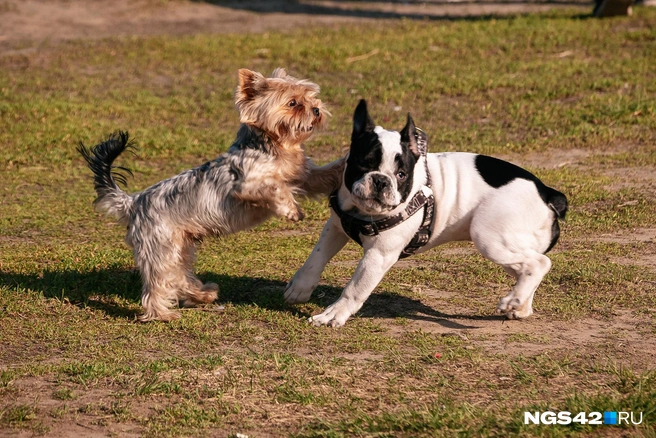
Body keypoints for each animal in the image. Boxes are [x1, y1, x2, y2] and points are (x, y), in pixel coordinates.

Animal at [79, 69, 340, 322]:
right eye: (293, 103)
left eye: (311, 97)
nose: (316, 109)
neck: (274, 146)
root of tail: (134, 202)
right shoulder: (248, 185)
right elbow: (276, 187)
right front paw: (291, 210)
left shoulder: (303, 176)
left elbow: (322, 174)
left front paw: (343, 166)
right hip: (161, 246)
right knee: (159, 282)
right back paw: (162, 315)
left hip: (180, 246)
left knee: (178, 276)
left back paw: (203, 294)